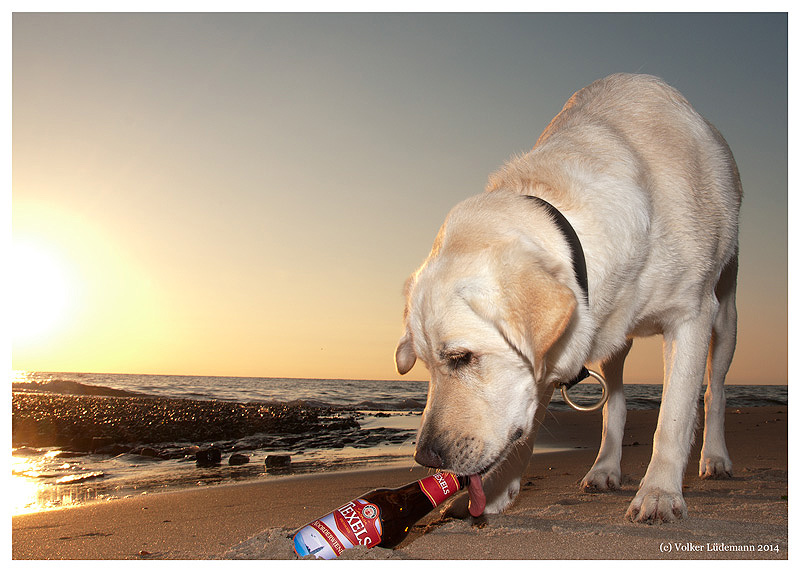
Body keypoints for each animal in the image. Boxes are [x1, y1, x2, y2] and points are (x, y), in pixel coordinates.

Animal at [396, 73, 740, 524]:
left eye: (461, 357)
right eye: (426, 365)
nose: (425, 459)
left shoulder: (692, 316)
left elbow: (674, 416)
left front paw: (660, 493)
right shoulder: (552, 353)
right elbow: (529, 428)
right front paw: (496, 492)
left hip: (726, 316)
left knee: (714, 392)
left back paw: (715, 458)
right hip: (616, 344)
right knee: (615, 405)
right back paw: (605, 467)